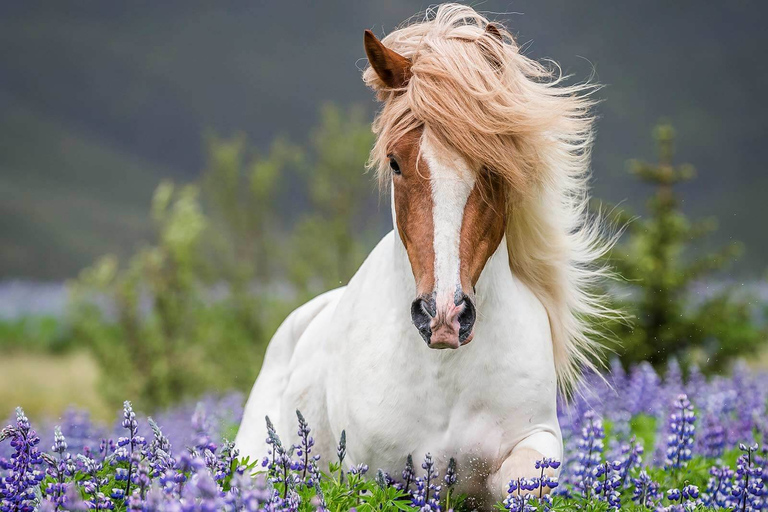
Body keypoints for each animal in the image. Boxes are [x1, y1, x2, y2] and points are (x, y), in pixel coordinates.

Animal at [237, 4, 608, 506]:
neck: (444, 372)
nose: (445, 316)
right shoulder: (373, 474)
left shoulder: (534, 440)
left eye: (495, 166)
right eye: (395, 162)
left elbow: (523, 481)